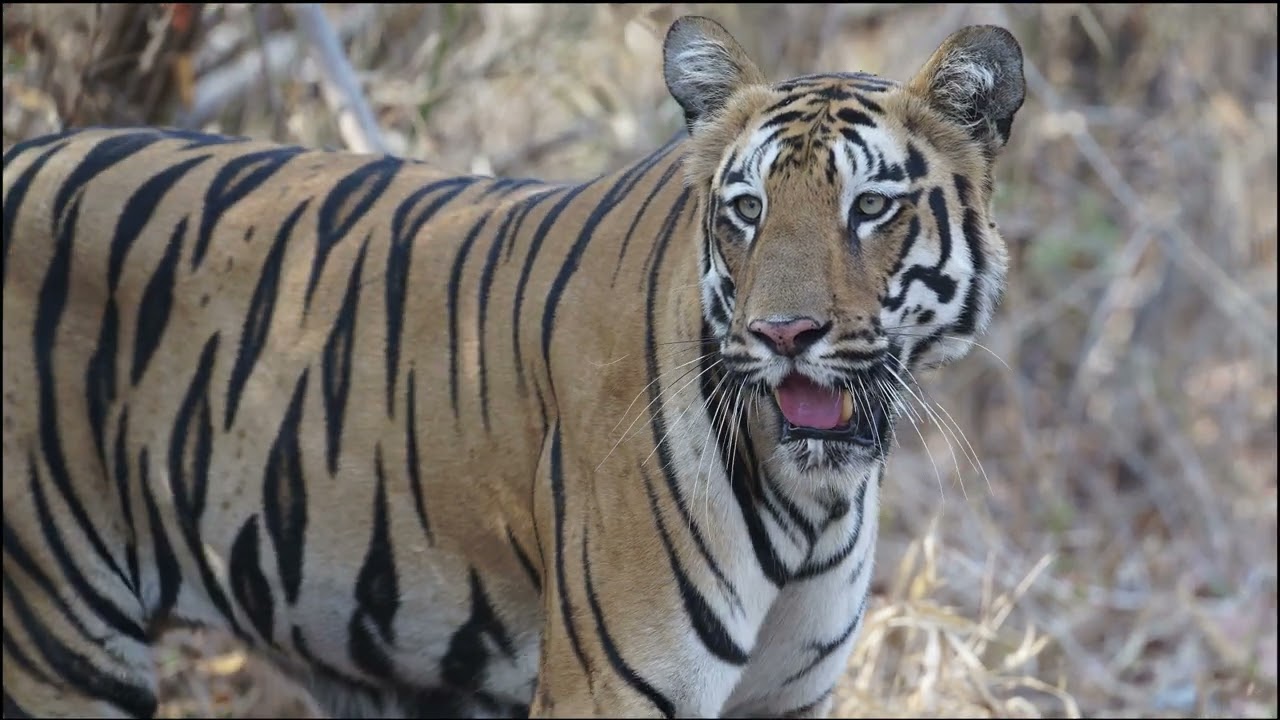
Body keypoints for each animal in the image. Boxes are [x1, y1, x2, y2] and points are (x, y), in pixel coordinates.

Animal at [1, 15, 1024, 719]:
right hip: (59, 637)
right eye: (747, 210)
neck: (813, 499)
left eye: (871, 207)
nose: (783, 334)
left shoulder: (789, 698)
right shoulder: (610, 690)